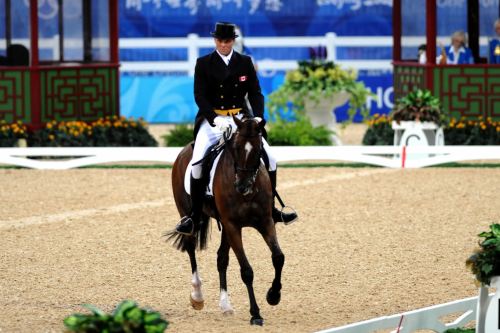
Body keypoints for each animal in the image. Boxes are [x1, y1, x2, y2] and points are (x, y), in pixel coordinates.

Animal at [168, 116, 286, 324]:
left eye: (258, 149)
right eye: (236, 147)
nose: (242, 186)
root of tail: (184, 151)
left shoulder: (265, 222)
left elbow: (278, 257)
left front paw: (273, 295)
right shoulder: (233, 226)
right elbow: (246, 271)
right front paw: (255, 314)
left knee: (221, 258)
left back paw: (225, 305)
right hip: (188, 215)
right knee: (191, 248)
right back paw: (197, 296)